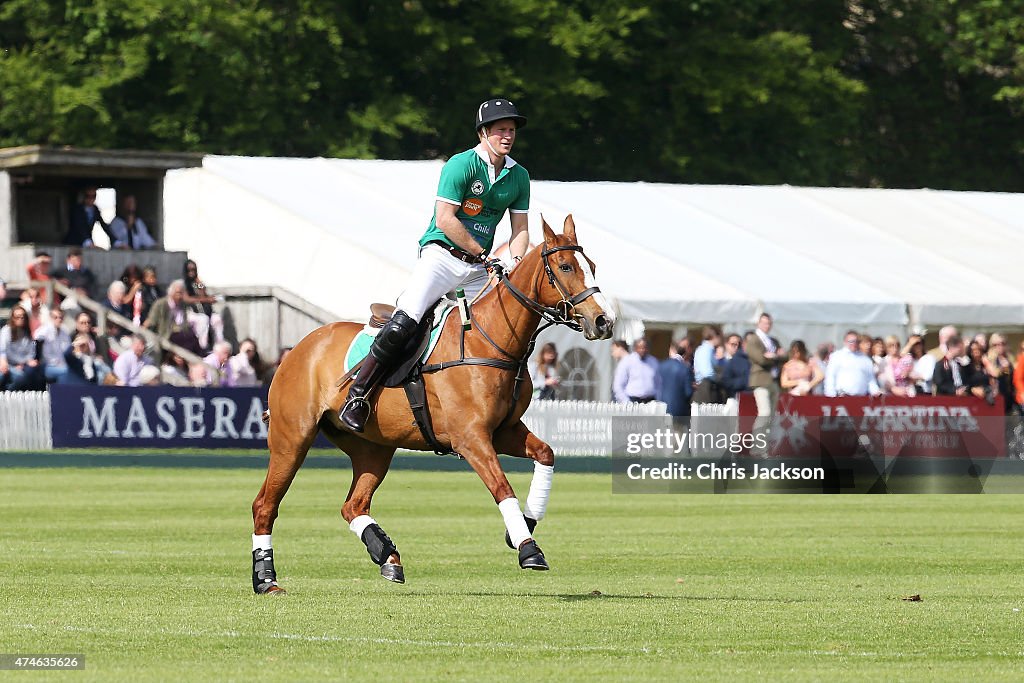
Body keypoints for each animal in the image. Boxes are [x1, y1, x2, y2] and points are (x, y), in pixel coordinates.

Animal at [250, 218, 610, 593]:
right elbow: (502, 486)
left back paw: (387, 555)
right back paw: (266, 579)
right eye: (565, 266)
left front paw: (525, 524)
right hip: (293, 438)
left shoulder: (503, 431)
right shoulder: (470, 439)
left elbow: (546, 453)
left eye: (592, 266)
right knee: (265, 505)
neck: (491, 340)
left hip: (373, 448)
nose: (603, 321)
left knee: (353, 505)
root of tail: (300, 347)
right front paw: (528, 548)